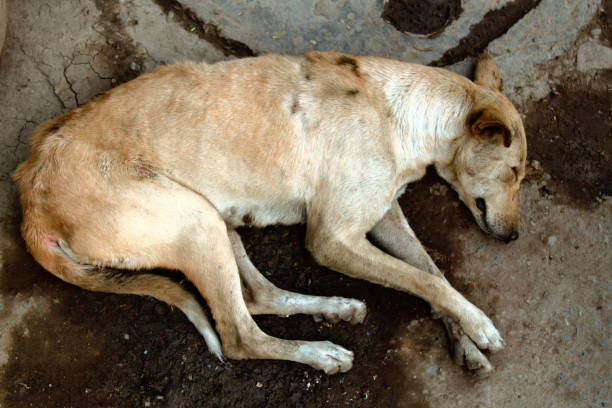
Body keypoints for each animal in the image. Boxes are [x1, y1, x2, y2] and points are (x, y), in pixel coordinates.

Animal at [14, 51, 524, 376]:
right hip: (193, 219)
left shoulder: (383, 215)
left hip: (213, 220)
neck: (399, 111)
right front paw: (480, 326)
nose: (514, 237)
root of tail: (31, 198)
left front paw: (465, 339)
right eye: (516, 170)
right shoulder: (331, 239)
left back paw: (336, 308)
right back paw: (322, 355)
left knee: (258, 296)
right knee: (239, 336)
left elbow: (431, 273)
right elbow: (423, 279)